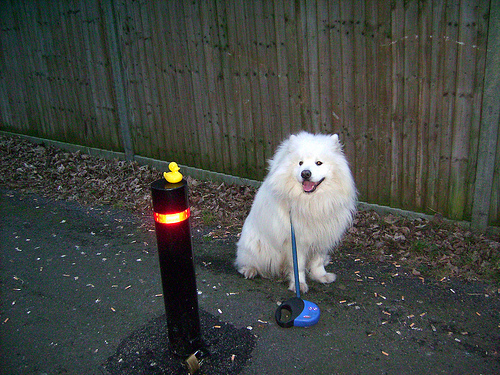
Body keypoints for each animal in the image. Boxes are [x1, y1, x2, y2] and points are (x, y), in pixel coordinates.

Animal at [234, 132, 356, 294]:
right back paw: (250, 270)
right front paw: (299, 284)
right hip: (255, 246)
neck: (311, 202)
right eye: (300, 163)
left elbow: (317, 261)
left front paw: (321, 276)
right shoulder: (296, 240)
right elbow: (298, 267)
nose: (305, 173)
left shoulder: (322, 236)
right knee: (246, 261)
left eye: (319, 163)